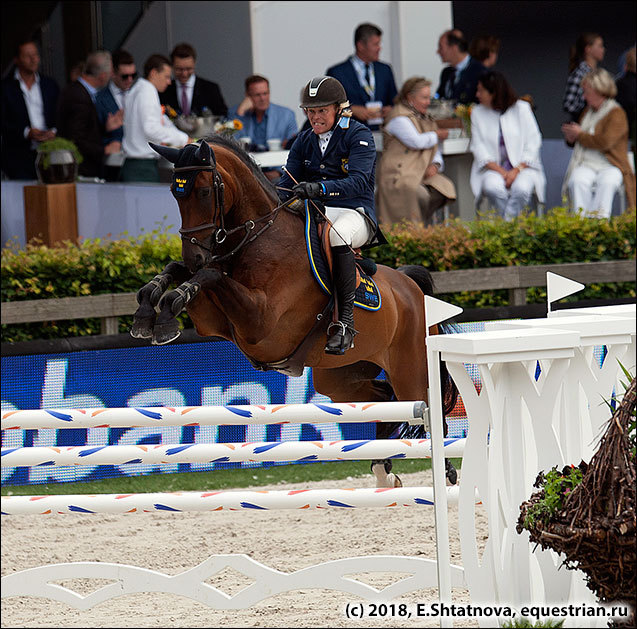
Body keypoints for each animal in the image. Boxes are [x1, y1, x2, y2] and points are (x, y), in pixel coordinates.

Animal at [130, 136, 458, 486]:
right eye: (174, 192)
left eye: (204, 191)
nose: (194, 256)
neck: (258, 237)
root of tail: (412, 288)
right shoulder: (213, 319)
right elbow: (180, 273)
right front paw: (148, 313)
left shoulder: (261, 324)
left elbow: (209, 277)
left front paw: (164, 316)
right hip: (342, 379)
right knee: (384, 400)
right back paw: (384, 470)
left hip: (410, 370)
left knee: (429, 411)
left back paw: (448, 473)